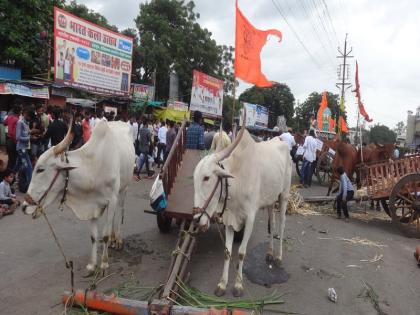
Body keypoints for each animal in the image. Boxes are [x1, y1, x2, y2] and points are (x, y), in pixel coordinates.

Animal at [24, 119, 135, 274]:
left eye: (40, 169)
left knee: (120, 211)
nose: (24, 206)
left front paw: (104, 264)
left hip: (124, 188)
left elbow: (105, 235)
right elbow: (94, 237)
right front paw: (92, 265)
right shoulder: (93, 204)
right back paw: (114, 240)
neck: (92, 168)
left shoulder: (111, 199)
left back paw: (118, 240)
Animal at [192, 122, 290, 298]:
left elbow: (241, 252)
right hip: (271, 200)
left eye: (206, 178)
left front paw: (238, 285)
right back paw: (270, 253)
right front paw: (222, 284)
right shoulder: (229, 219)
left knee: (282, 224)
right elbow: (227, 252)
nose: (196, 220)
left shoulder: (250, 218)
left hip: (284, 195)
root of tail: (281, 141)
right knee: (272, 224)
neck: (236, 181)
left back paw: (278, 257)